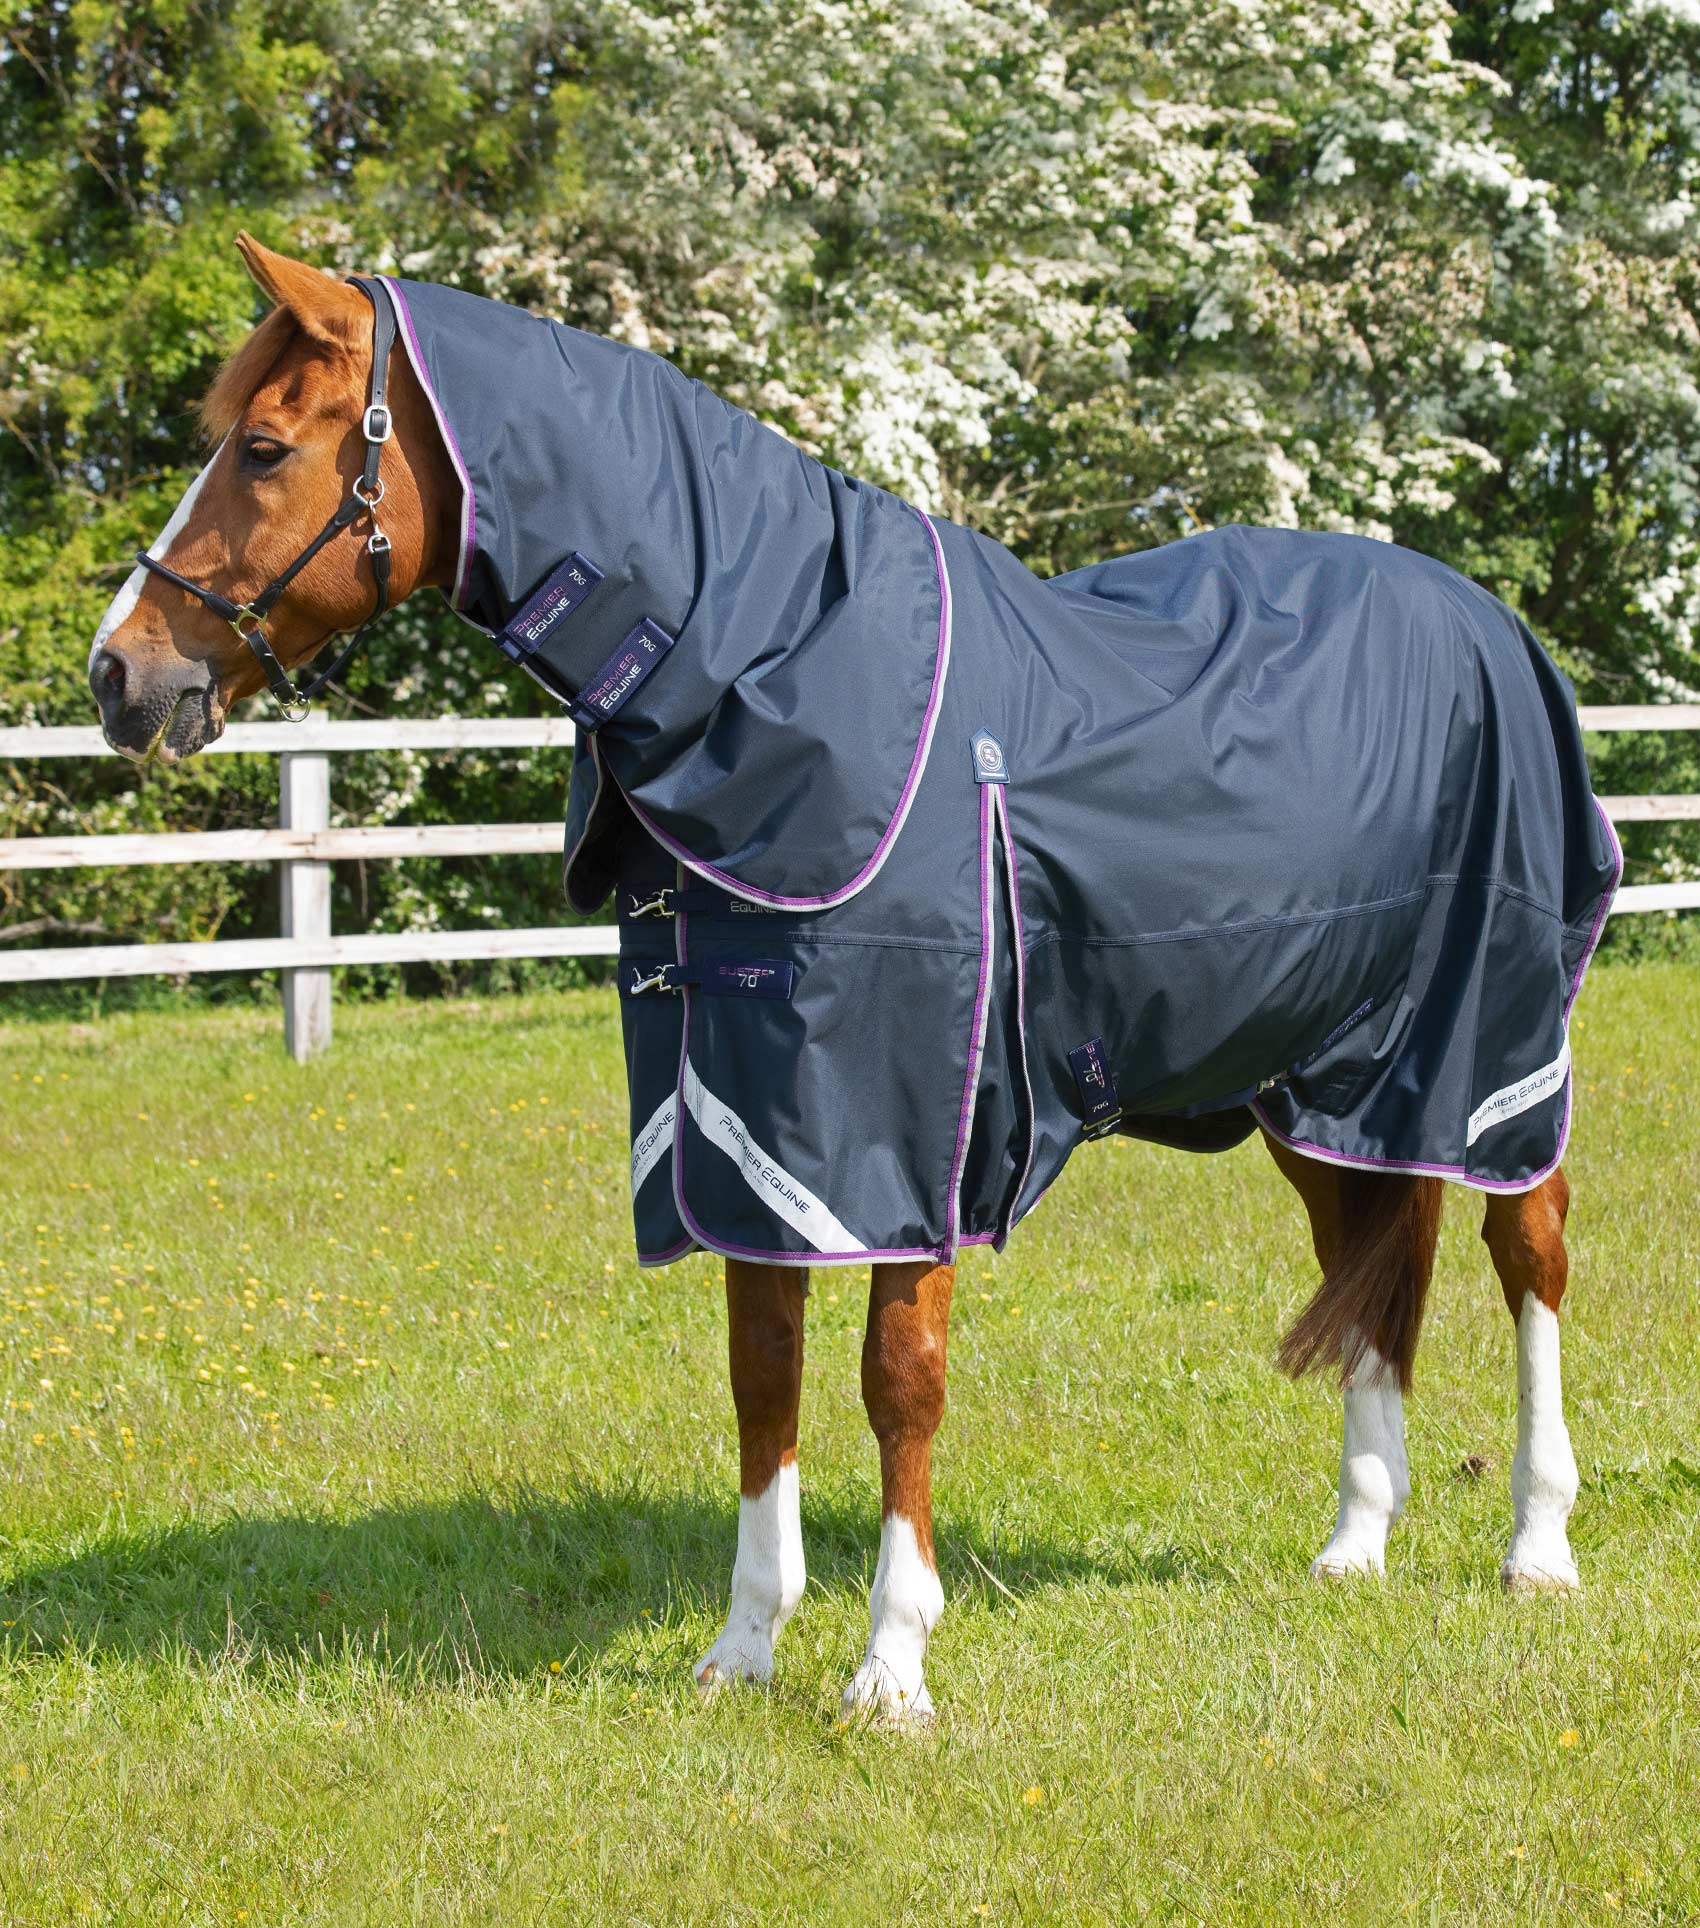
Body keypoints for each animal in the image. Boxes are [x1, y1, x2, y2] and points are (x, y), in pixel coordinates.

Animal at [89, 235, 1613, 1722]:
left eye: (265, 447)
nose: (119, 672)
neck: (773, 670)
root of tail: (1491, 627)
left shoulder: (904, 1133)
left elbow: (898, 1384)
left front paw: (891, 1666)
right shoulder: (738, 1131)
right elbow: (762, 1376)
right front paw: (743, 1649)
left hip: (1491, 1055)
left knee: (1527, 1256)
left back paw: (1538, 1547)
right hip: (1318, 1083)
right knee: (1374, 1263)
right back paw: (1355, 1542)